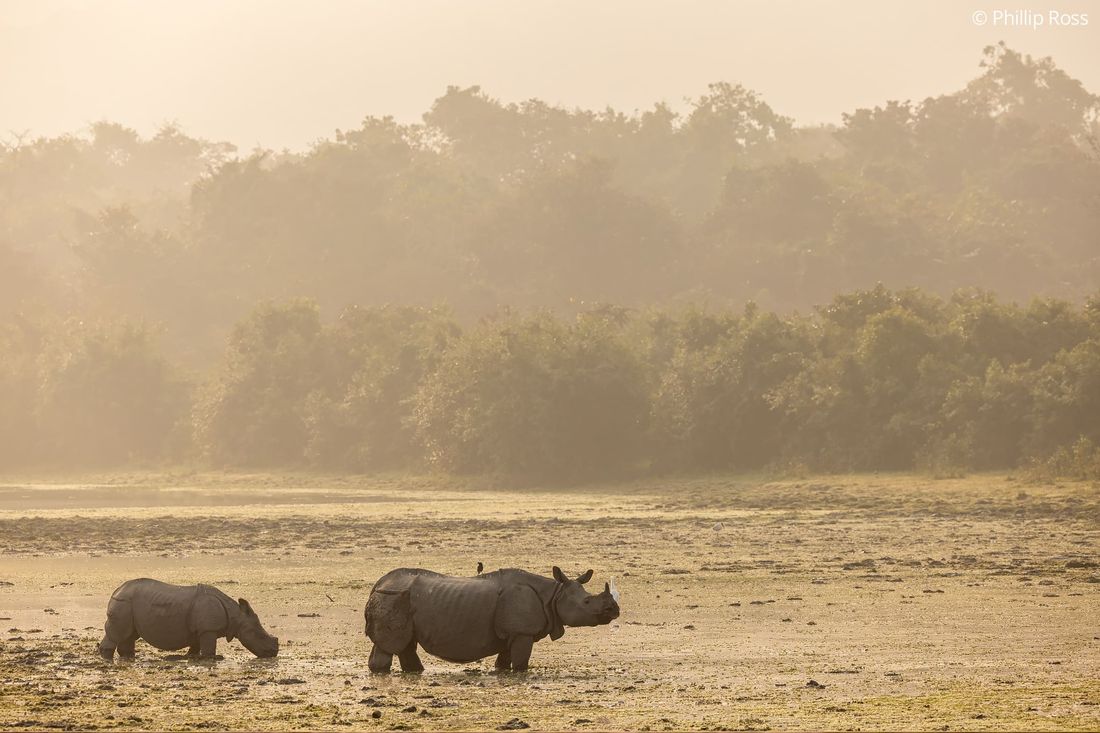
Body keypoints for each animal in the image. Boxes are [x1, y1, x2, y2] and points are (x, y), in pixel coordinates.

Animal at [98, 578, 279, 660]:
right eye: (260, 635)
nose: (274, 652)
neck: (236, 615)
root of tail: (116, 591)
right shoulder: (208, 630)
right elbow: (208, 650)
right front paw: (213, 658)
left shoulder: (201, 630)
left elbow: (195, 648)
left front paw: (191, 657)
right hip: (123, 603)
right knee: (118, 634)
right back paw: (108, 659)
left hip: (128, 605)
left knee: (129, 635)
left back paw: (128, 657)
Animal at [364, 566, 620, 673]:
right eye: (587, 602)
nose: (614, 611)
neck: (554, 593)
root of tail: (377, 584)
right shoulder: (522, 632)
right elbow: (520, 663)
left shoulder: (513, 633)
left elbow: (504, 661)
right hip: (392, 597)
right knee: (391, 646)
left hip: (398, 600)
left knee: (405, 645)